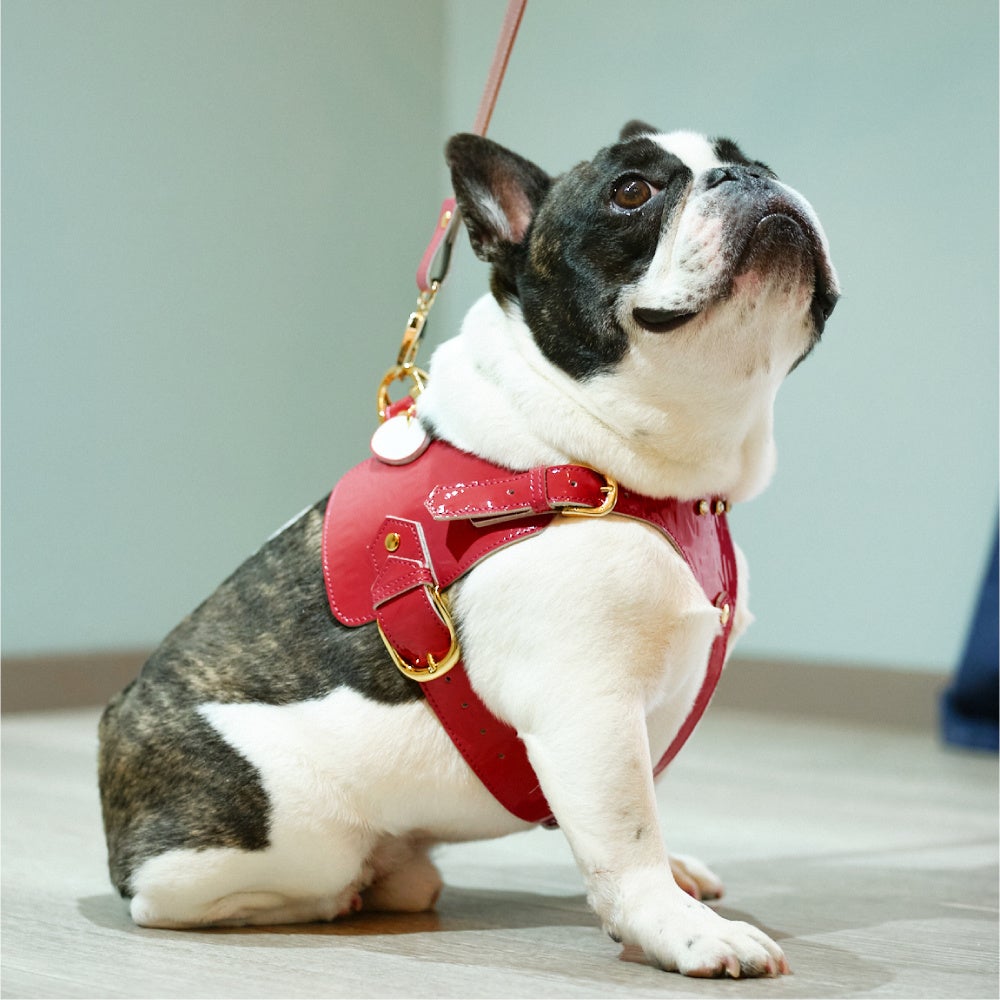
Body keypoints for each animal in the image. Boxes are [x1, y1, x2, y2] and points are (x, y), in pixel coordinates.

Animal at [99, 121, 838, 979]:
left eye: (757, 161)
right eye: (632, 192)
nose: (746, 178)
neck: (599, 460)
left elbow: (641, 812)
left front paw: (675, 877)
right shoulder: (586, 706)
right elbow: (626, 835)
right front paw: (678, 928)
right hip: (285, 833)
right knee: (182, 897)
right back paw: (341, 892)